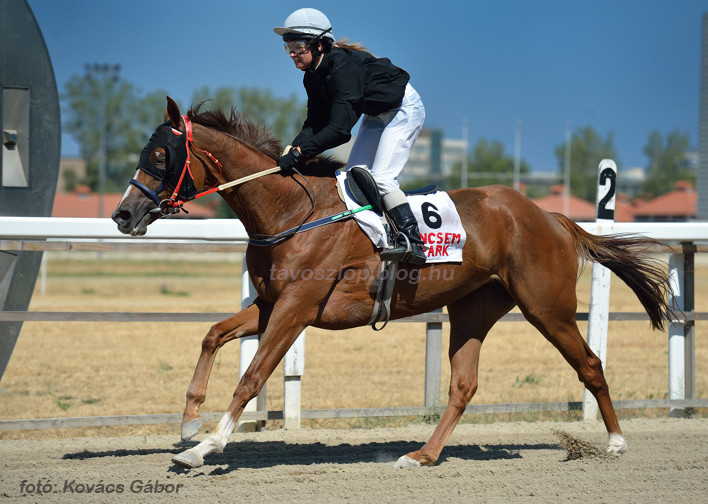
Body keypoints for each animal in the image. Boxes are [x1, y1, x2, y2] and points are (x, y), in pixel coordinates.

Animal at [113, 98, 672, 468]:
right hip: (473, 308)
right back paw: (423, 454)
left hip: (546, 306)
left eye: (160, 157)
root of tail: (550, 216)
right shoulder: (272, 304)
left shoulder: (297, 309)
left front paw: (206, 446)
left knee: (590, 364)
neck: (290, 211)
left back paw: (616, 443)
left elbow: (252, 376)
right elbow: (212, 334)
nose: (123, 214)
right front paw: (188, 423)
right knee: (464, 384)